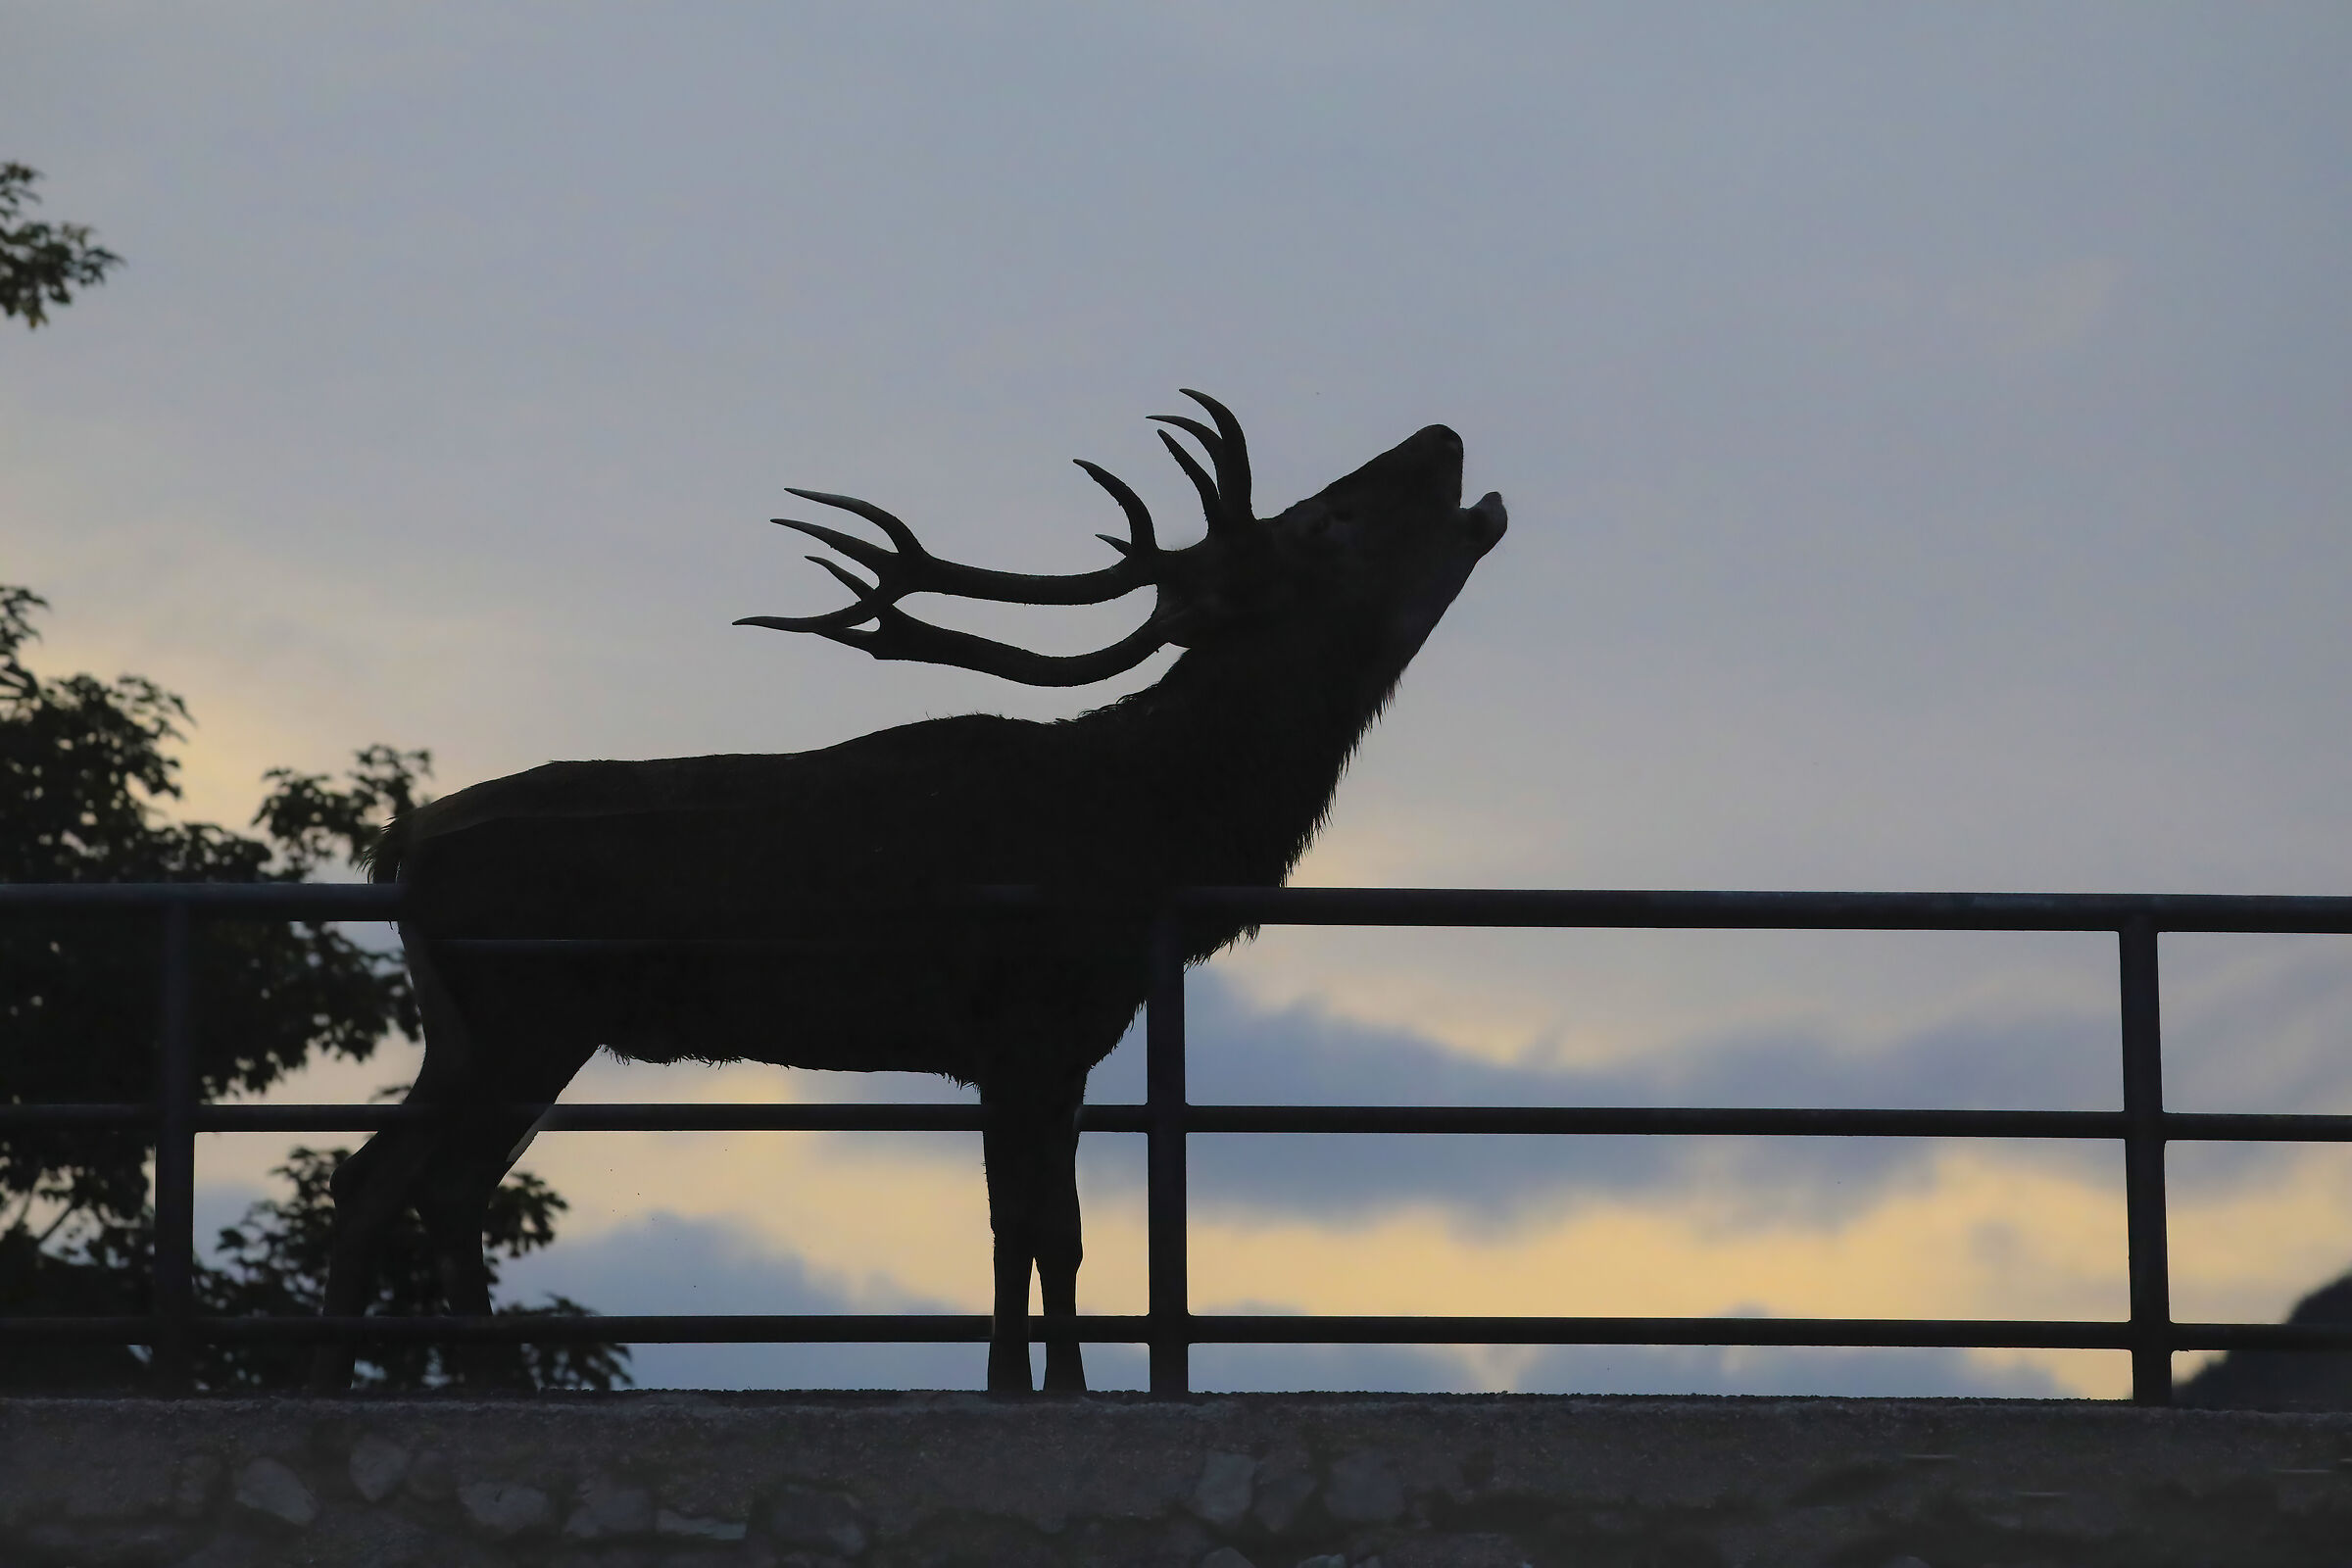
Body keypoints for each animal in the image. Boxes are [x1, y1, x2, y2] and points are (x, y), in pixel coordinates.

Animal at [312, 392, 1506, 1394]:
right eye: (1323, 525)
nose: (1444, 435)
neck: (1156, 833)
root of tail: (400, 847)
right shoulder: (1019, 1026)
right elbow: (1025, 1225)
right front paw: (1028, 1387)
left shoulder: (1065, 1046)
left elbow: (1051, 1231)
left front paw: (1050, 1385)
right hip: (530, 1013)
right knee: (444, 1184)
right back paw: (483, 1384)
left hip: (469, 1032)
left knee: (369, 1176)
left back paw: (333, 1374)